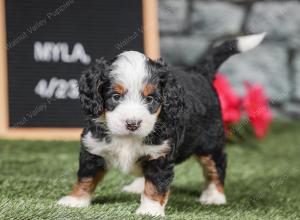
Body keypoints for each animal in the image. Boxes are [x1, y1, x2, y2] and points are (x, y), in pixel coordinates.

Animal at [56, 33, 264, 217]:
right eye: (115, 96)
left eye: (150, 99)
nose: (133, 124)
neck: (128, 138)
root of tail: (200, 72)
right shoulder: (93, 146)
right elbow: (86, 176)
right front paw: (75, 200)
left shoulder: (161, 154)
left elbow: (155, 185)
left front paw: (150, 210)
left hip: (209, 143)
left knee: (216, 166)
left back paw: (214, 196)